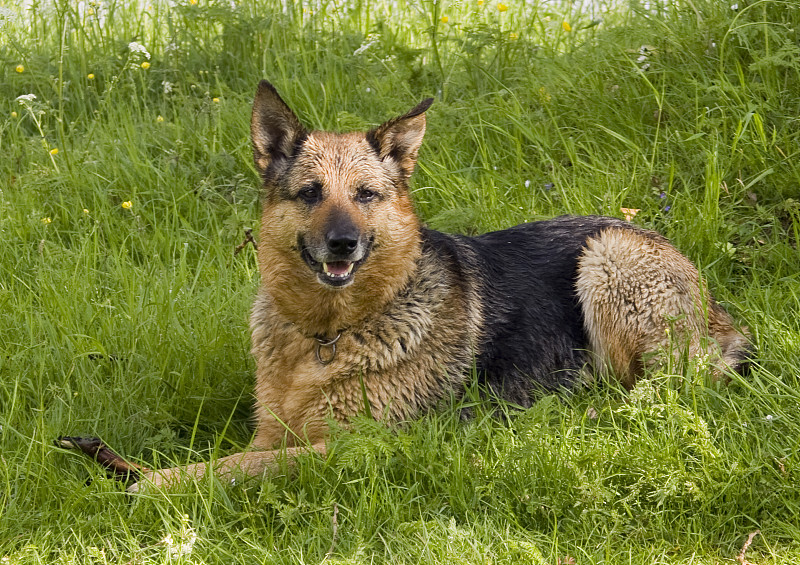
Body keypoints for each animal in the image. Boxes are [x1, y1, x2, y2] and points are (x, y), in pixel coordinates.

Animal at [122, 79, 748, 490]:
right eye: (310, 194)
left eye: (366, 195)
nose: (343, 244)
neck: (329, 334)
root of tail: (713, 308)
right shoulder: (273, 431)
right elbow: (242, 457)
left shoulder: (352, 443)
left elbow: (239, 467)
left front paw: (154, 482)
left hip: (606, 258)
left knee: (664, 390)